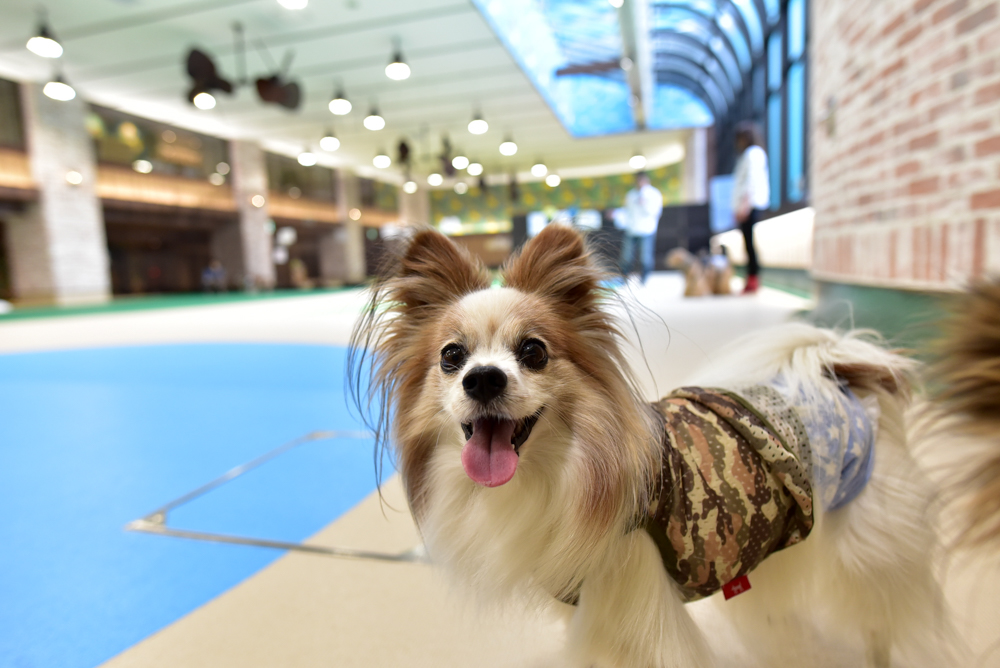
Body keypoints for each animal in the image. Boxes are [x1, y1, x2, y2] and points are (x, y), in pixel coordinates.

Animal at [350, 224, 952, 668]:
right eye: (452, 357)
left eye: (533, 352)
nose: (483, 380)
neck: (558, 474)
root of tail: (842, 374)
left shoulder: (643, 615)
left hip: (870, 550)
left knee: (884, 618)